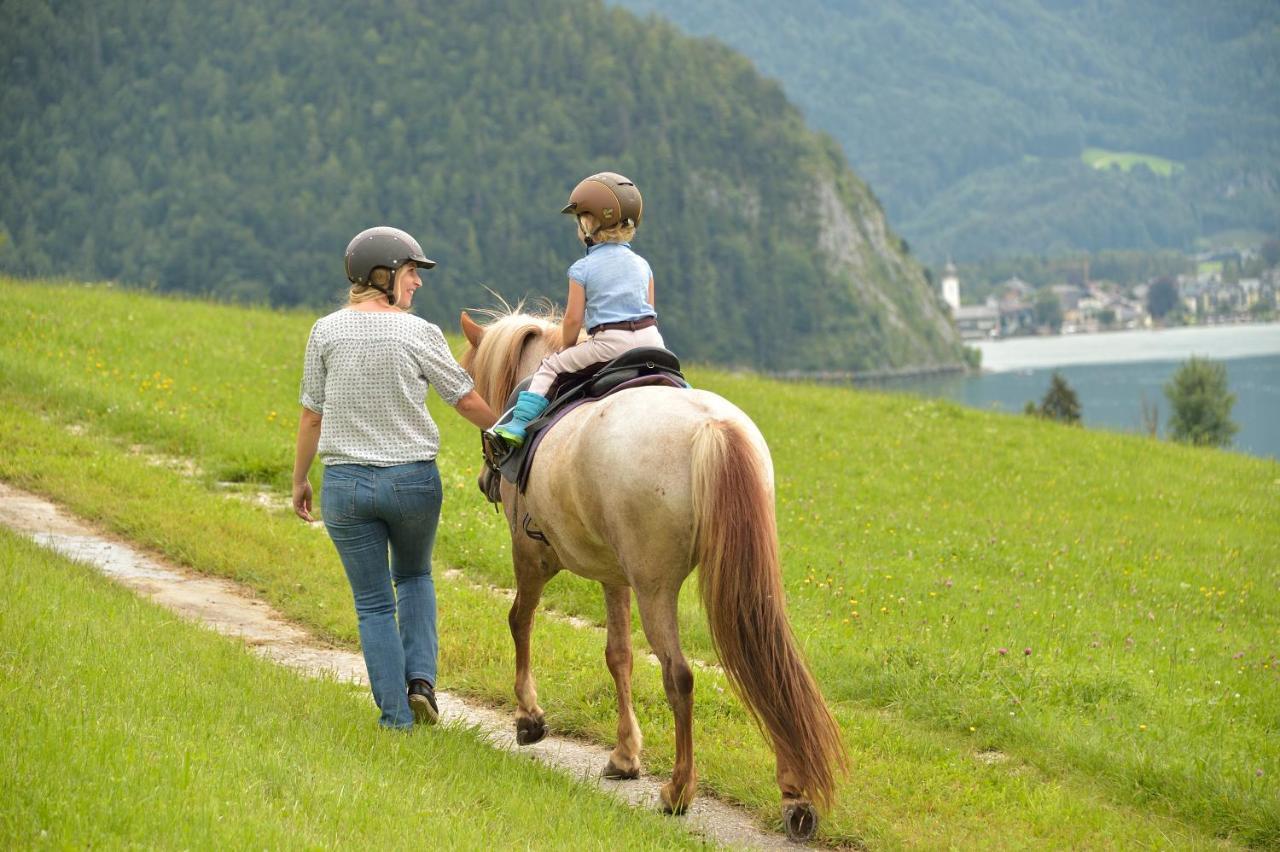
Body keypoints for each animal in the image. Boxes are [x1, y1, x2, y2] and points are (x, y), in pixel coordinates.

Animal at [460, 308, 849, 839]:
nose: (487, 478)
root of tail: (711, 427)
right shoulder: (615, 576)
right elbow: (618, 655)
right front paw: (625, 756)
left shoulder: (531, 556)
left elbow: (520, 621)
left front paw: (529, 717)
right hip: (743, 587)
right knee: (772, 668)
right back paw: (795, 796)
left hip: (655, 587)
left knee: (678, 675)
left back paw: (679, 790)